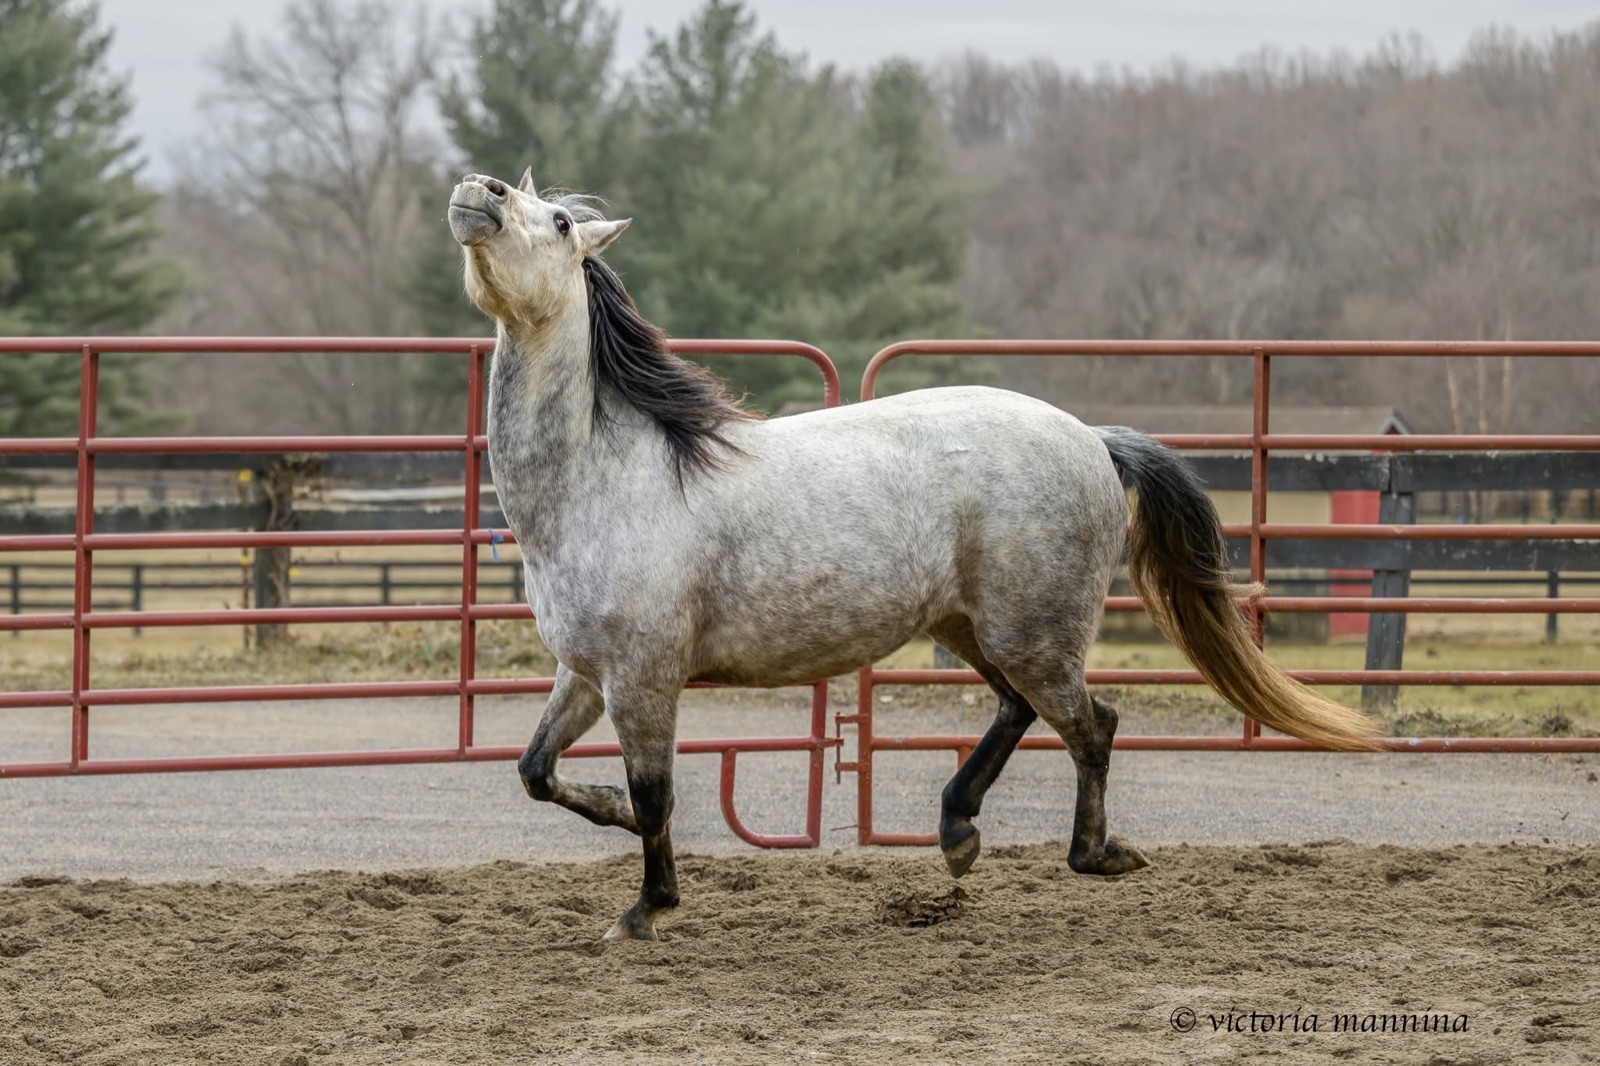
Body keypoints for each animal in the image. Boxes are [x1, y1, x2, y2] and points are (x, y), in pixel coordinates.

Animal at [446, 169, 1379, 942]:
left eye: (559, 221)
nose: (475, 191)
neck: (610, 479)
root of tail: (1091, 438)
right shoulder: (586, 673)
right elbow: (536, 771)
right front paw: (615, 828)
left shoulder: (644, 679)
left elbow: (654, 794)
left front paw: (646, 909)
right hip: (976, 629)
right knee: (1022, 712)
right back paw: (958, 831)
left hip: (1033, 635)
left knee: (1093, 725)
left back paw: (1096, 854)